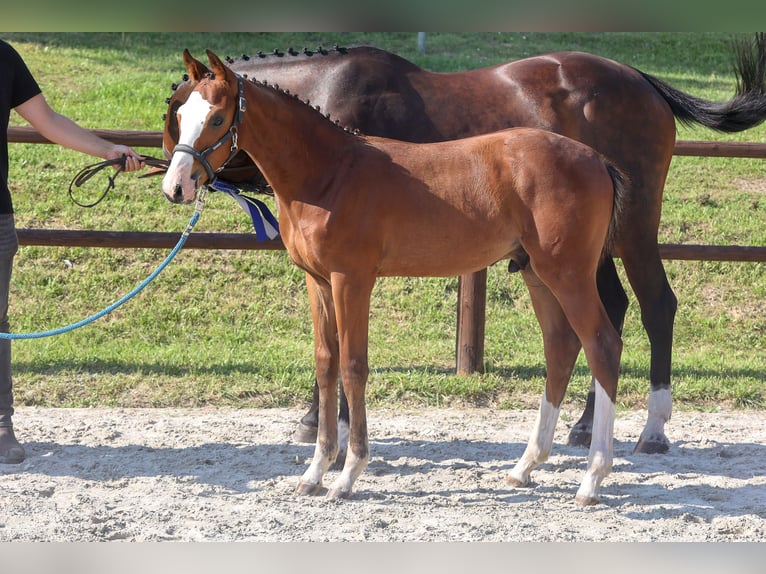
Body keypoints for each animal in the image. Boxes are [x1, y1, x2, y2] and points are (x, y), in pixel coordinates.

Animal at [162, 36, 766, 460]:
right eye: (178, 117)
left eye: (214, 118)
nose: (177, 185)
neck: (326, 101)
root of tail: (642, 81)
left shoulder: (346, 267)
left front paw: (324, 422)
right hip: (586, 249)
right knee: (610, 312)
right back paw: (584, 425)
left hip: (632, 230)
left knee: (655, 306)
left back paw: (653, 429)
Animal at [162, 50, 632, 508]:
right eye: (182, 114)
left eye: (217, 119)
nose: (176, 186)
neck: (329, 174)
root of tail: (597, 160)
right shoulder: (319, 282)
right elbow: (326, 364)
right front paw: (315, 472)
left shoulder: (351, 280)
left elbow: (353, 367)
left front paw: (347, 476)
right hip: (536, 273)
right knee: (561, 347)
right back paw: (525, 466)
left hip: (568, 274)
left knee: (601, 345)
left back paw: (592, 478)